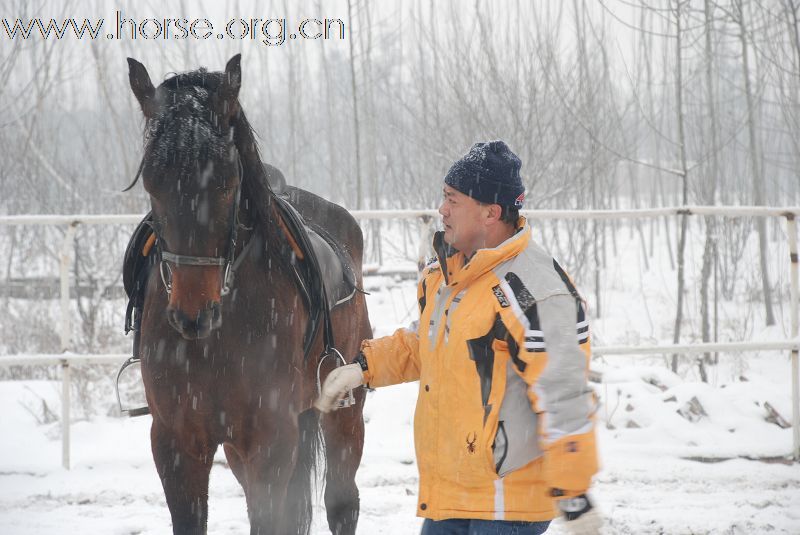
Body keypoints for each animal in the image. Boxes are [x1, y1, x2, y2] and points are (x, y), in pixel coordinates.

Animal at [126, 55, 370, 535]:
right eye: (152, 182)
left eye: (226, 180)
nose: (192, 313)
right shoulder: (177, 443)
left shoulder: (271, 441)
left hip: (344, 413)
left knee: (341, 501)